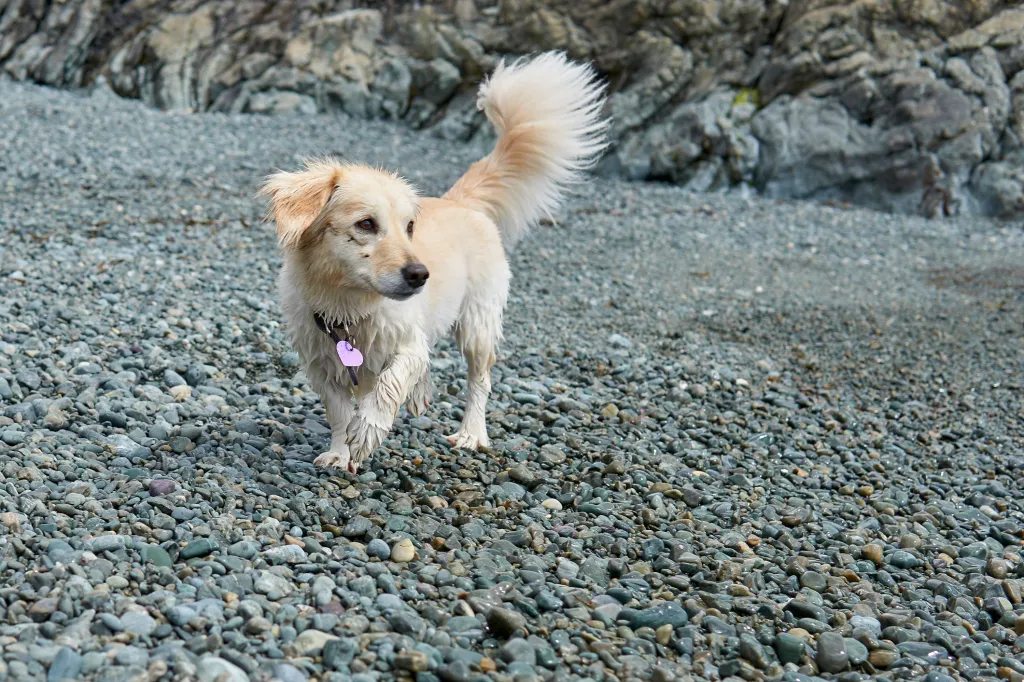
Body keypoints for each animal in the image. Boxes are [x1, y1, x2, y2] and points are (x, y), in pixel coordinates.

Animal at [260, 50, 606, 471]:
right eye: (366, 224)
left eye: (409, 226)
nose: (420, 275)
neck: (348, 304)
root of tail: (461, 201)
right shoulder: (321, 364)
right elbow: (339, 410)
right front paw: (341, 453)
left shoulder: (408, 342)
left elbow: (390, 383)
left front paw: (367, 431)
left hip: (478, 323)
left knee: (479, 380)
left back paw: (472, 433)